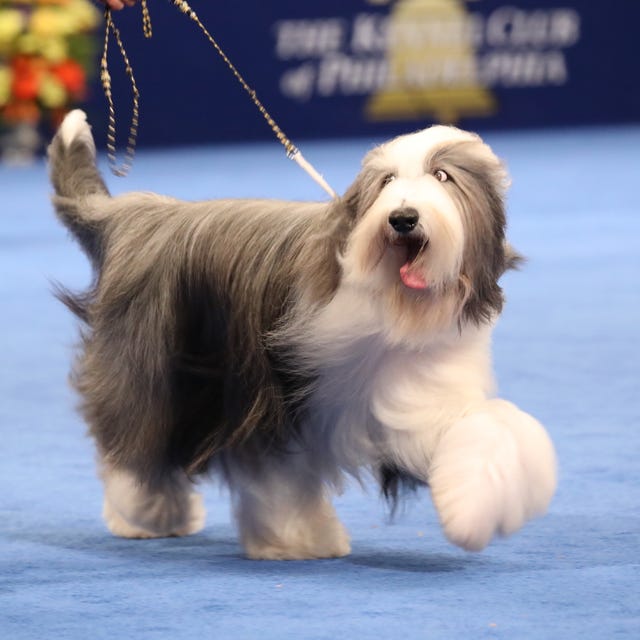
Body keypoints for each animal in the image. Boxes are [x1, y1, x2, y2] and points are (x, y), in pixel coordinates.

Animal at [48, 111, 556, 560]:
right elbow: (279, 475)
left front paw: (480, 505)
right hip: (152, 365)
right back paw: (144, 514)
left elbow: (485, 427)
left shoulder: (414, 390)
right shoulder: (275, 395)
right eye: (387, 181)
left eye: (443, 176)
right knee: (135, 435)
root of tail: (133, 214)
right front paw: (296, 540)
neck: (393, 308)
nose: (403, 218)